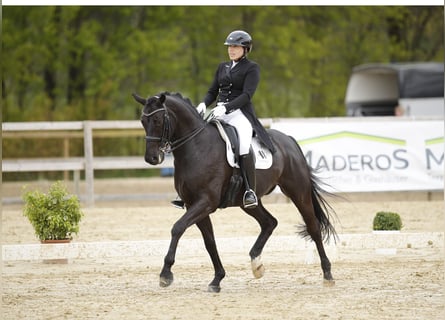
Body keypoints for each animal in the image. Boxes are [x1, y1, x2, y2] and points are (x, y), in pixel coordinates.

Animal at [132, 91, 336, 292]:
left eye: (157, 119)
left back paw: (327, 274)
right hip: (248, 202)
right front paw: (217, 279)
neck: (197, 147)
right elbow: (209, 241)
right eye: (142, 121)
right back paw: (256, 264)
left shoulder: (206, 202)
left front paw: (165, 274)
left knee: (313, 227)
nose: (151, 158)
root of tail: (289, 140)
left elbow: (177, 228)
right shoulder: (194, 204)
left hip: (298, 192)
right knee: (269, 222)